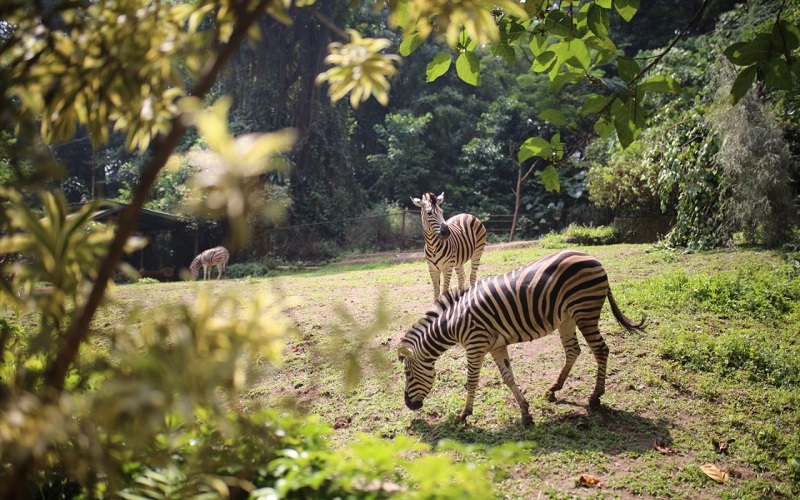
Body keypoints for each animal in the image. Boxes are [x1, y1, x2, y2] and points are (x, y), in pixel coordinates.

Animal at [396, 250, 648, 426]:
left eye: (407, 374)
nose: (408, 405)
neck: (454, 322)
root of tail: (593, 257)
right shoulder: (495, 346)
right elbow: (508, 377)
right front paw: (526, 413)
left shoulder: (476, 344)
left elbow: (472, 380)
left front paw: (464, 414)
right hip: (567, 317)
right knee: (573, 351)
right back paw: (554, 389)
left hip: (585, 311)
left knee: (601, 350)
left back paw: (595, 397)